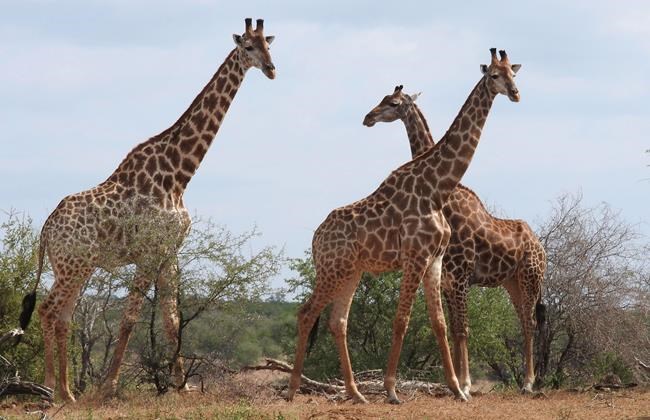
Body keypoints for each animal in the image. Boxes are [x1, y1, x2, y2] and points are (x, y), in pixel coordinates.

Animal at [17, 18, 276, 402]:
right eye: (247, 47)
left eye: (269, 45)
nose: (272, 69)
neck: (179, 175)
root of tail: (46, 230)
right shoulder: (149, 251)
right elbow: (130, 317)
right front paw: (108, 387)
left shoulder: (170, 251)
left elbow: (171, 318)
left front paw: (182, 387)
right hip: (71, 266)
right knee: (49, 311)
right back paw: (51, 388)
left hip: (79, 267)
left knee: (62, 316)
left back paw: (66, 390)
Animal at [287, 48, 522, 404]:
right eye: (494, 75)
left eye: (513, 73)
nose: (515, 93)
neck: (436, 189)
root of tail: (315, 238)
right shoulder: (415, 257)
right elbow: (402, 321)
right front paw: (391, 389)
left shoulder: (435, 260)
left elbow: (439, 323)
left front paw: (458, 388)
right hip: (332, 269)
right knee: (306, 313)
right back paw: (292, 389)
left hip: (351, 271)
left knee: (337, 321)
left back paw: (356, 393)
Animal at [363, 85, 547, 394]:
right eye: (382, 98)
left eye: (393, 103)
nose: (368, 117)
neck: (443, 198)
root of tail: (541, 246)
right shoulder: (448, 277)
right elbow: (453, 327)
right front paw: (459, 382)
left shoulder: (461, 275)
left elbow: (462, 328)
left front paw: (465, 384)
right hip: (512, 282)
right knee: (523, 320)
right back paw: (526, 380)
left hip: (530, 278)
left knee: (530, 322)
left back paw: (528, 383)